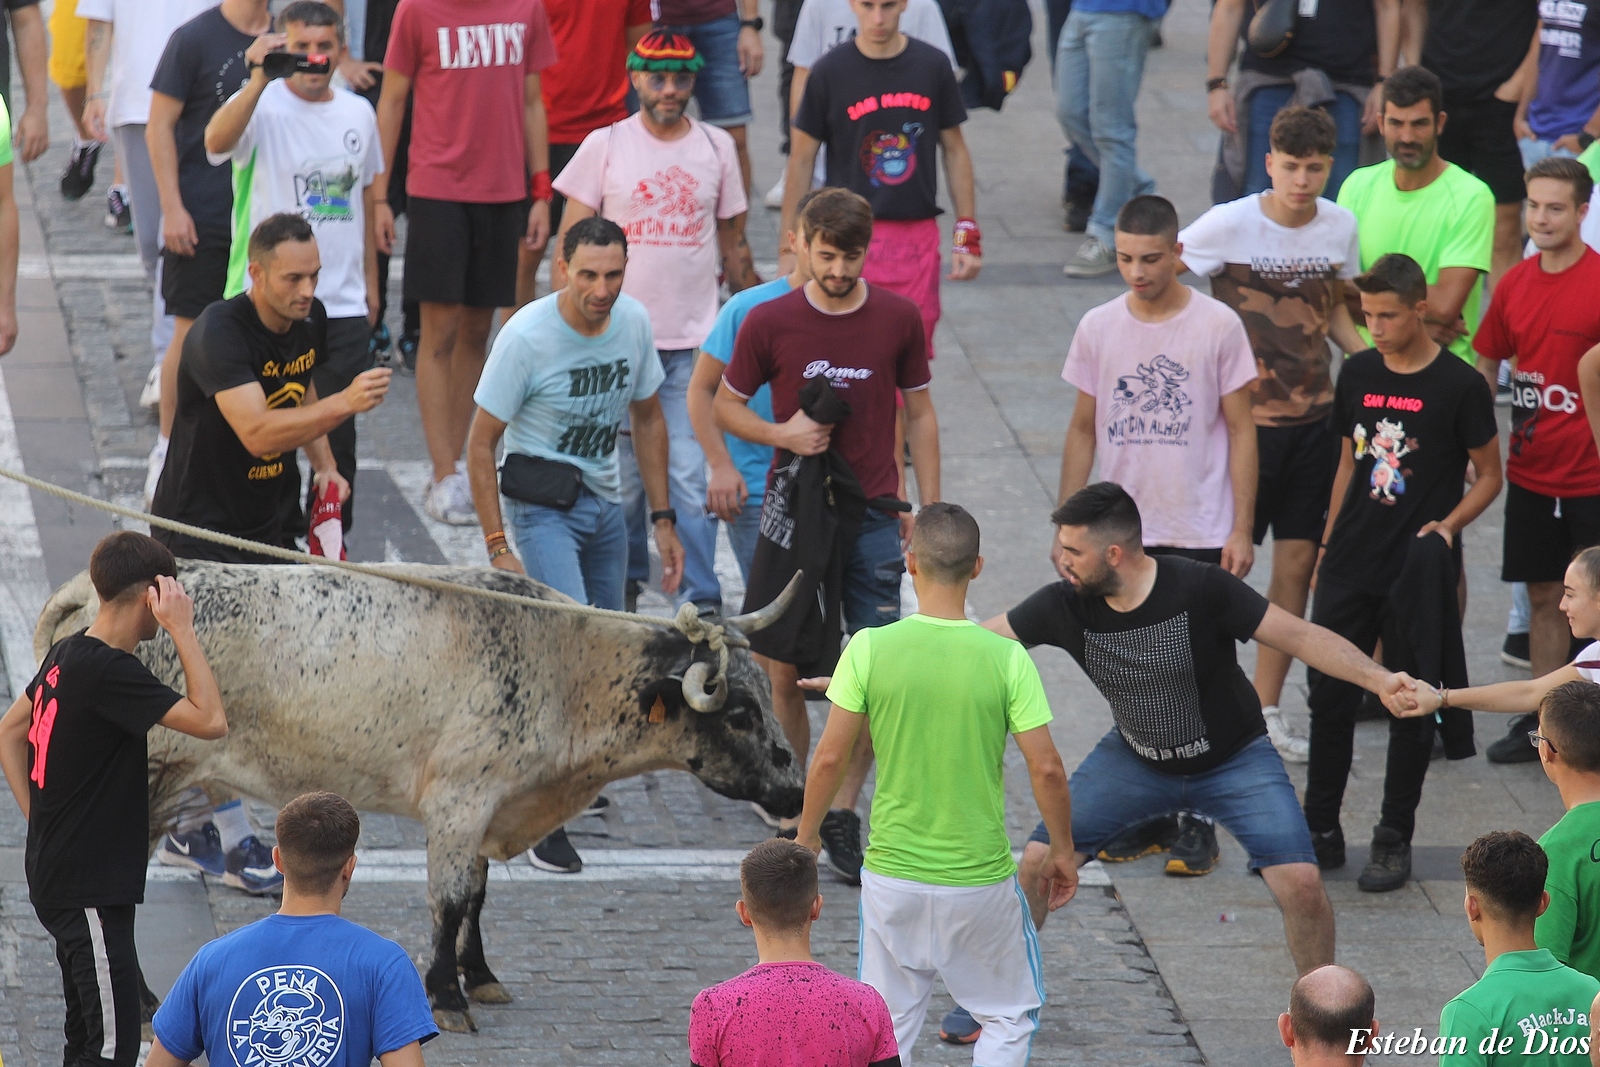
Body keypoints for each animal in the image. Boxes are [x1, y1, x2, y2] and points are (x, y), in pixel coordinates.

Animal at [34, 563, 812, 1030]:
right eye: (740, 712)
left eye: (765, 695)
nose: (796, 787)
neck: (562, 661)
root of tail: (90, 594)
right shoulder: (460, 801)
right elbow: (452, 899)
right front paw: (445, 992)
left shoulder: (489, 805)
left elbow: (479, 898)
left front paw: (481, 974)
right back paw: (141, 1004)